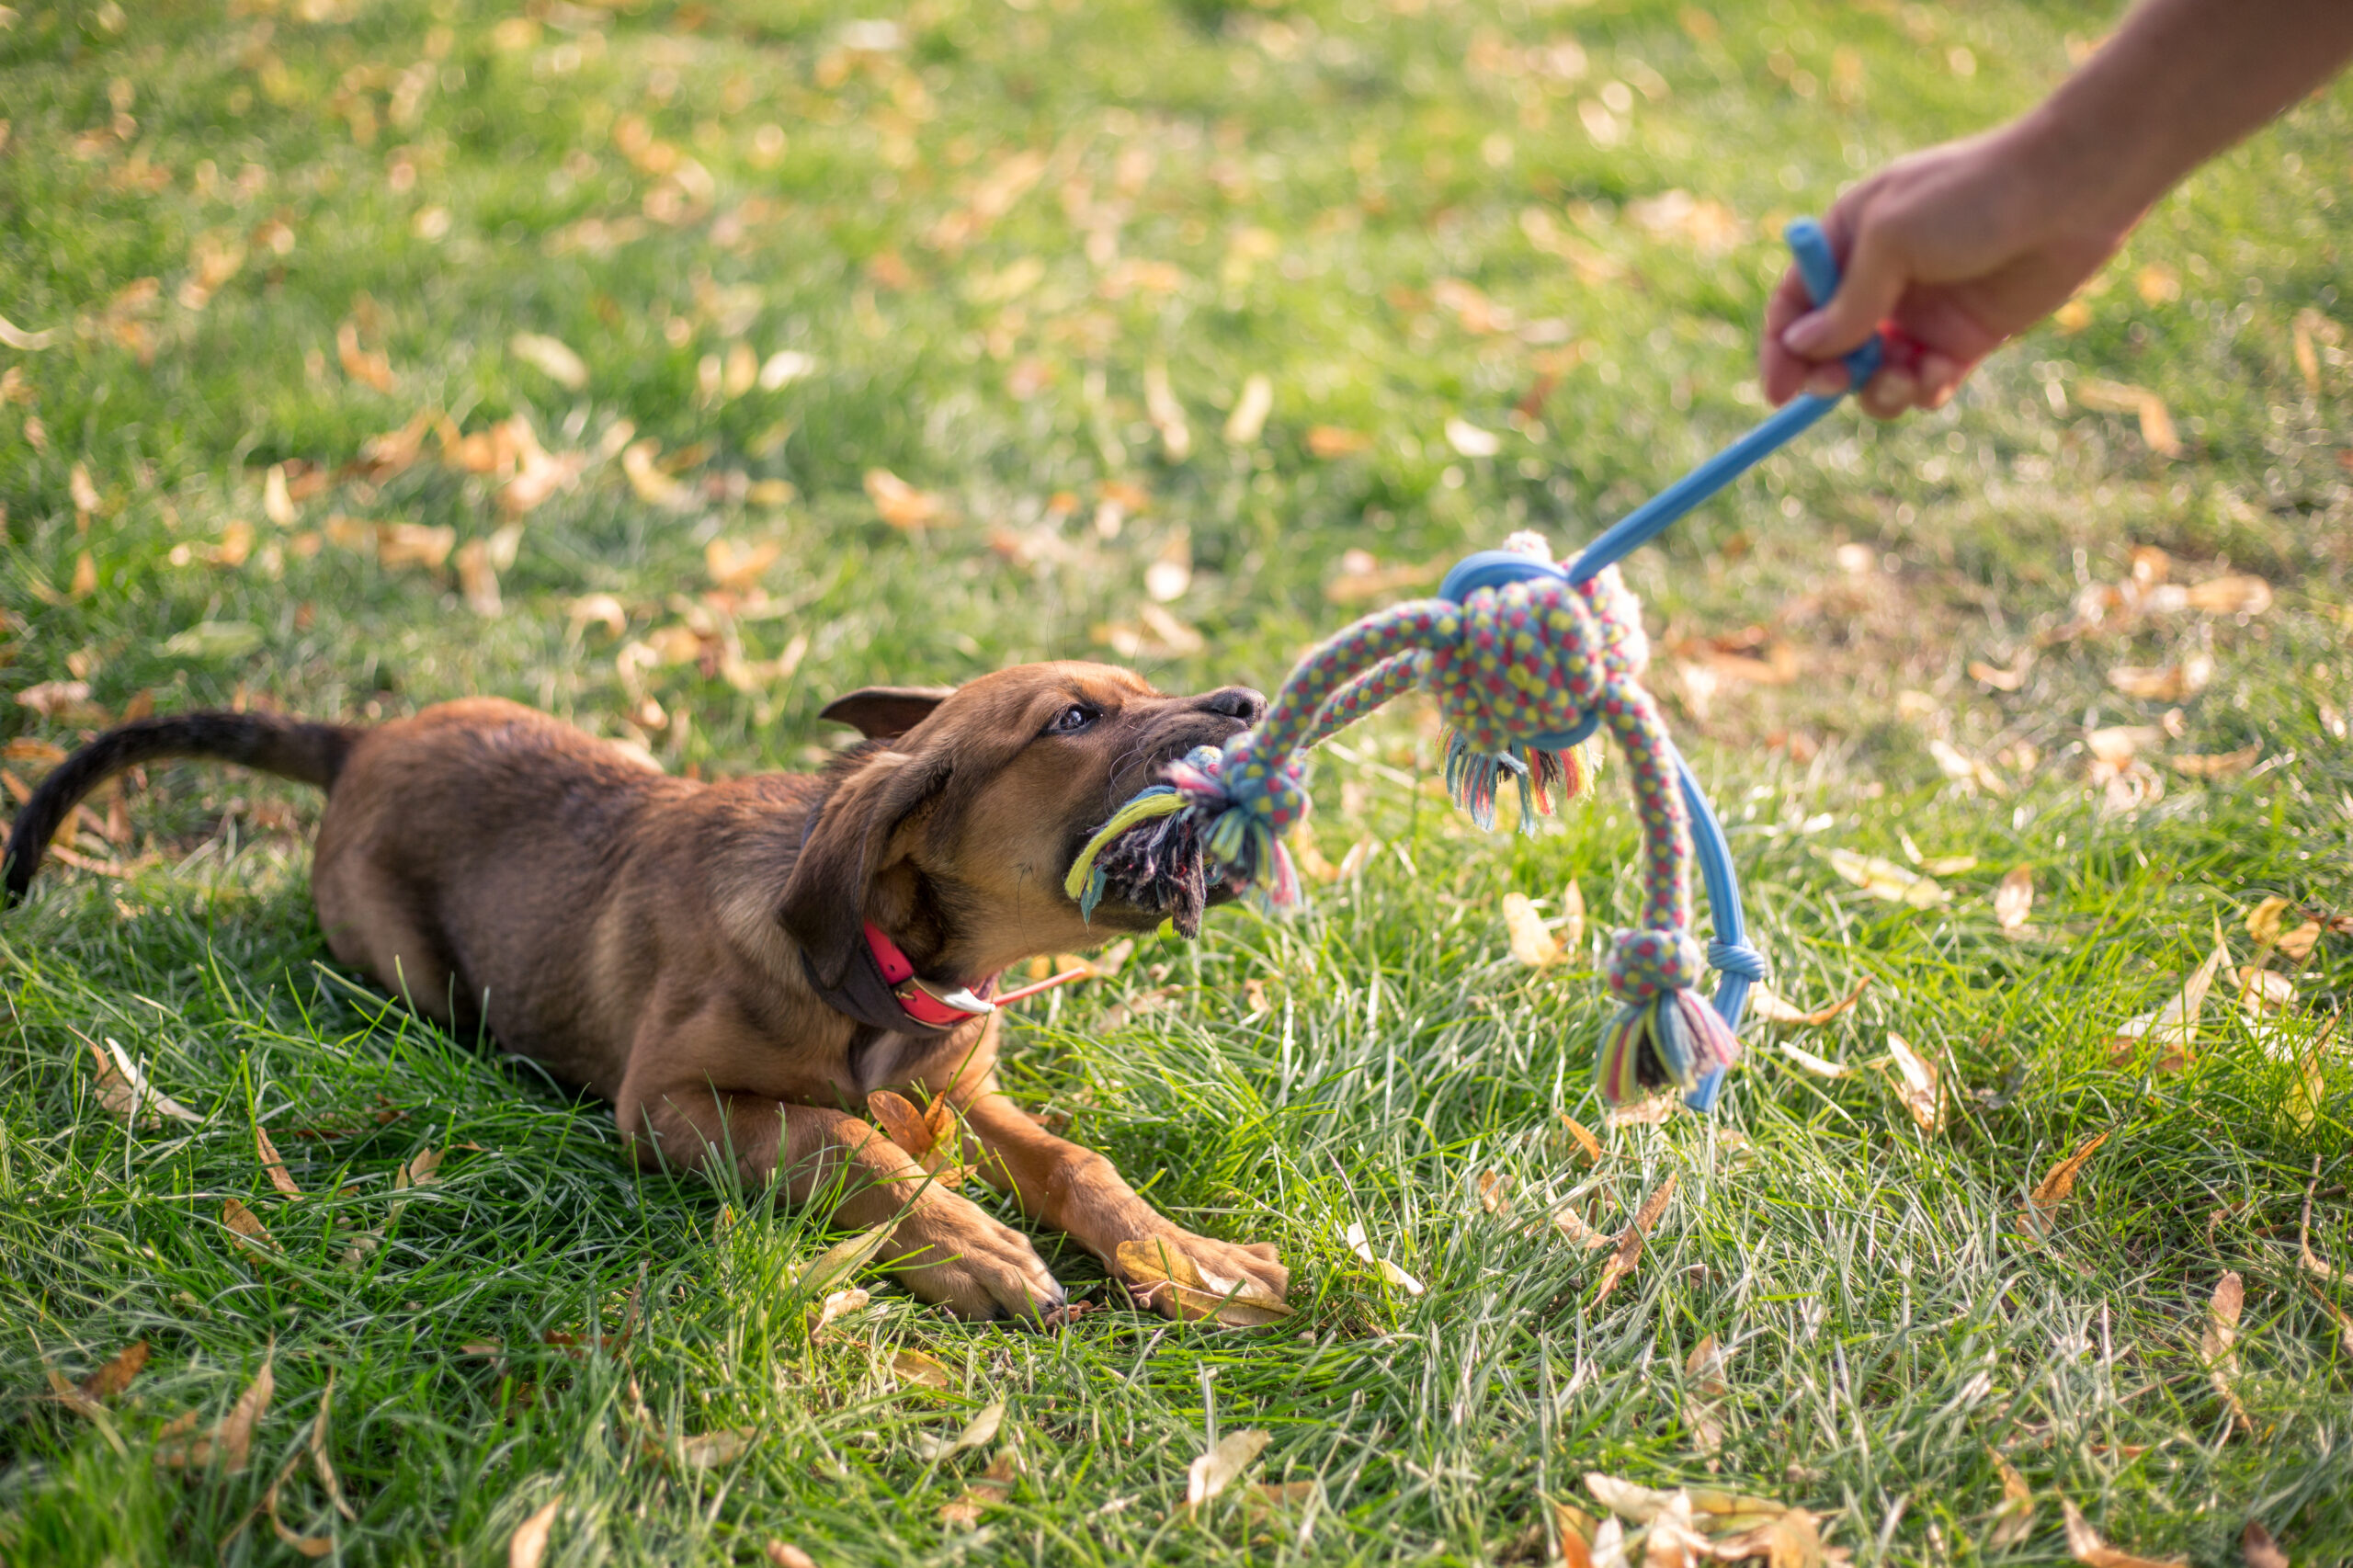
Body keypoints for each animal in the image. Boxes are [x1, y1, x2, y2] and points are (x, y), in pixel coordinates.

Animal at [9, 664, 1289, 1318]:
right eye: (1073, 718)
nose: (1247, 703)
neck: (888, 967)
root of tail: (362, 739)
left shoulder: (958, 1085)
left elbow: (1076, 1159)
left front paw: (1188, 1256)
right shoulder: (668, 1102)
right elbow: (844, 1139)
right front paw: (974, 1247)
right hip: (415, 971)